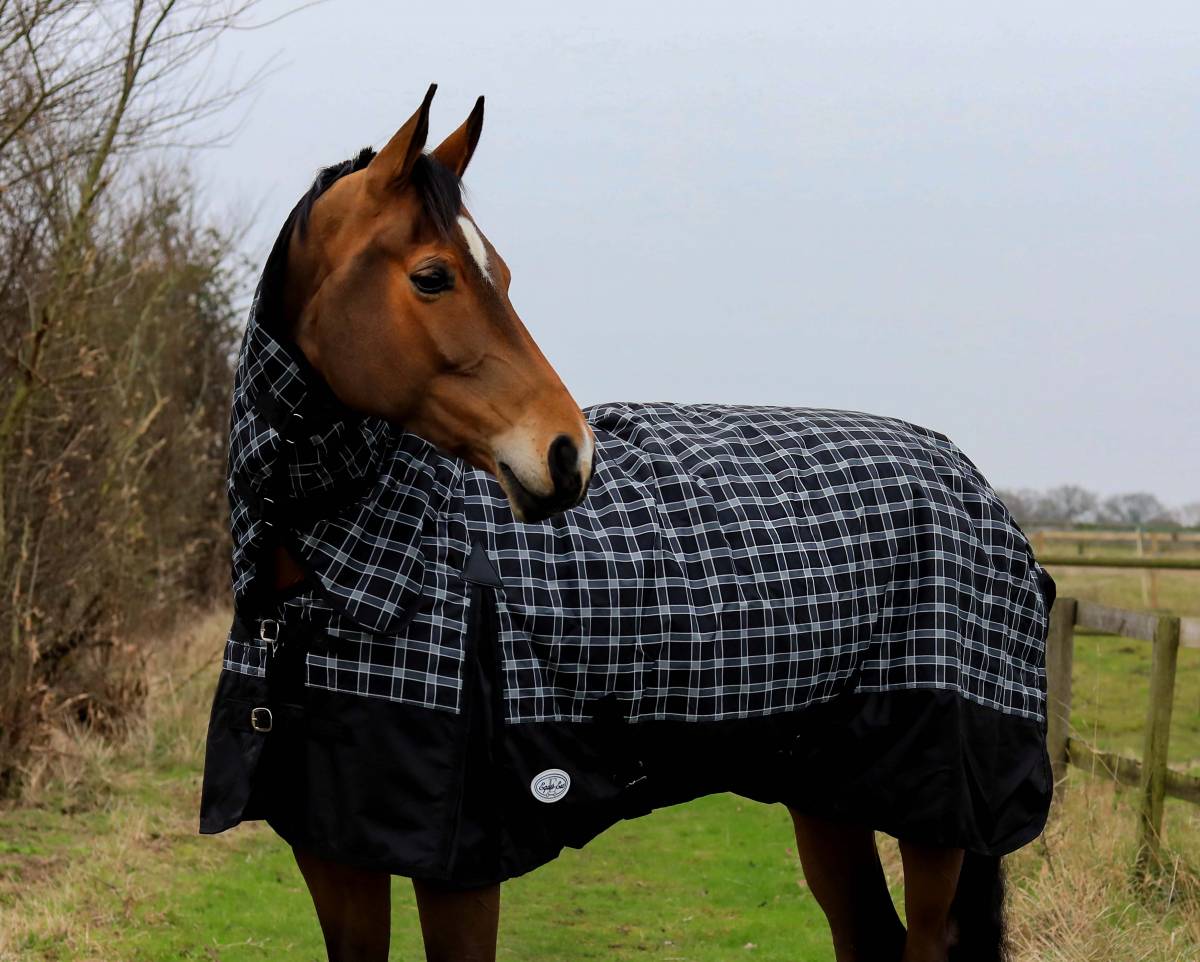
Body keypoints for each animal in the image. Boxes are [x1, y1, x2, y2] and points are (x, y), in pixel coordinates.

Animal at [200, 85, 1054, 962]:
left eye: (503, 273)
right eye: (433, 278)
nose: (567, 453)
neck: (350, 575)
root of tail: (970, 478)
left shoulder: (461, 868)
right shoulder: (333, 851)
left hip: (937, 815)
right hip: (829, 793)